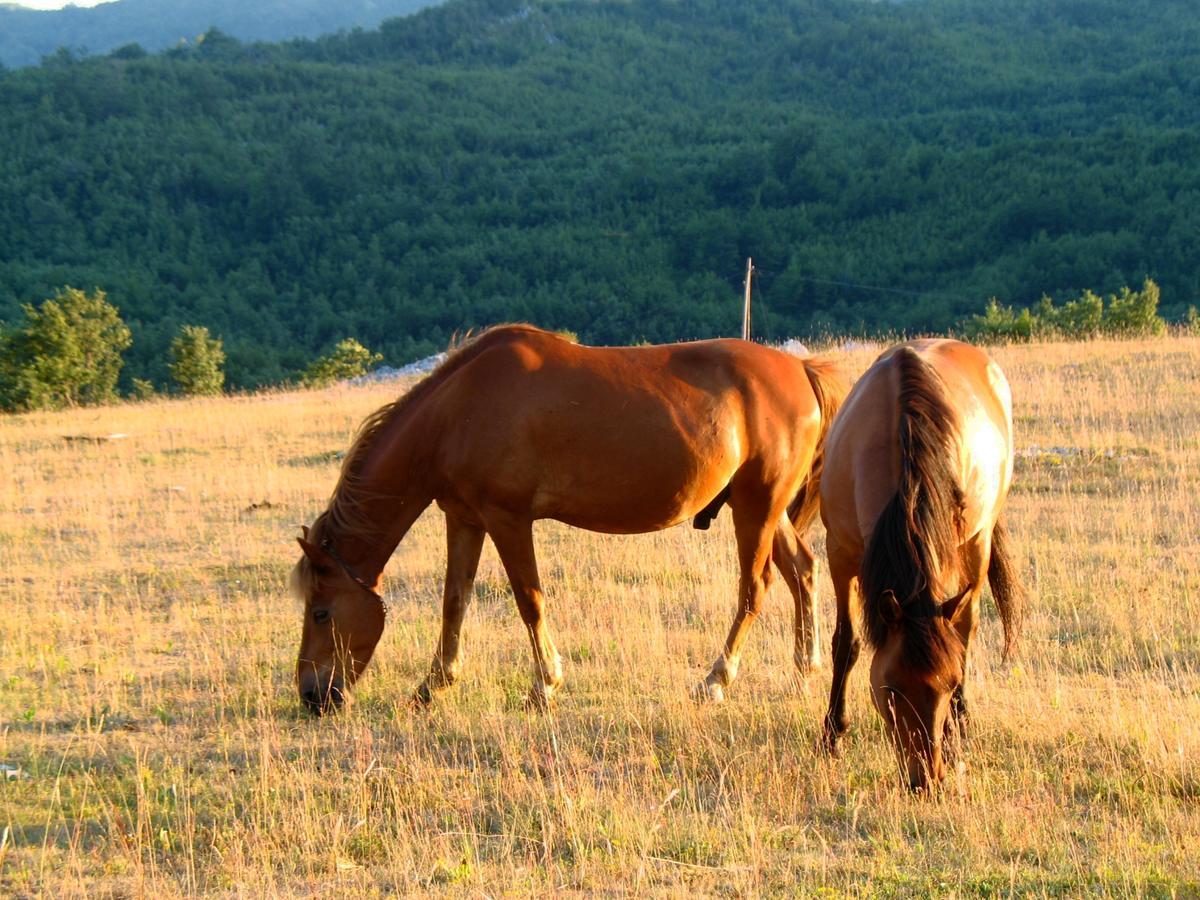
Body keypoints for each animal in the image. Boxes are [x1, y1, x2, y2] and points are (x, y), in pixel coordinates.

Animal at [289, 321, 844, 710]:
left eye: (321, 612)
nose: (313, 695)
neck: (457, 411)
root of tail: (801, 370)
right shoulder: (464, 519)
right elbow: (454, 601)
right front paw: (434, 684)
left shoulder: (507, 519)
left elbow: (528, 600)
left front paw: (544, 686)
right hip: (766, 510)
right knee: (803, 571)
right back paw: (804, 669)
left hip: (756, 508)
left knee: (755, 588)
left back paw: (715, 680)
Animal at [820, 340, 1027, 792]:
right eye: (891, 689)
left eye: (948, 687)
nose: (924, 780)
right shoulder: (839, 553)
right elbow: (846, 643)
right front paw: (832, 735)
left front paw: (952, 737)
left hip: (977, 544)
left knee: (965, 628)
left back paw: (962, 727)